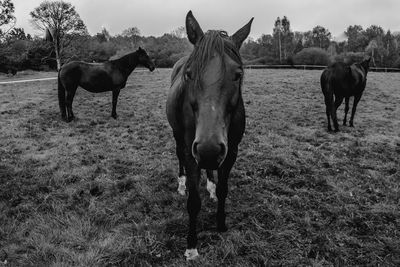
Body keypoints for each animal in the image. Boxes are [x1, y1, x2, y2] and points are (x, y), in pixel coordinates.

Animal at [166, 11, 253, 260]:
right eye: (189, 74)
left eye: (237, 75)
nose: (209, 148)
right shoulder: (191, 151)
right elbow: (193, 201)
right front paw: (191, 246)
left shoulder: (231, 151)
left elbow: (224, 189)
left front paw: (221, 224)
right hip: (181, 140)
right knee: (181, 157)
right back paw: (182, 184)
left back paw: (211, 186)